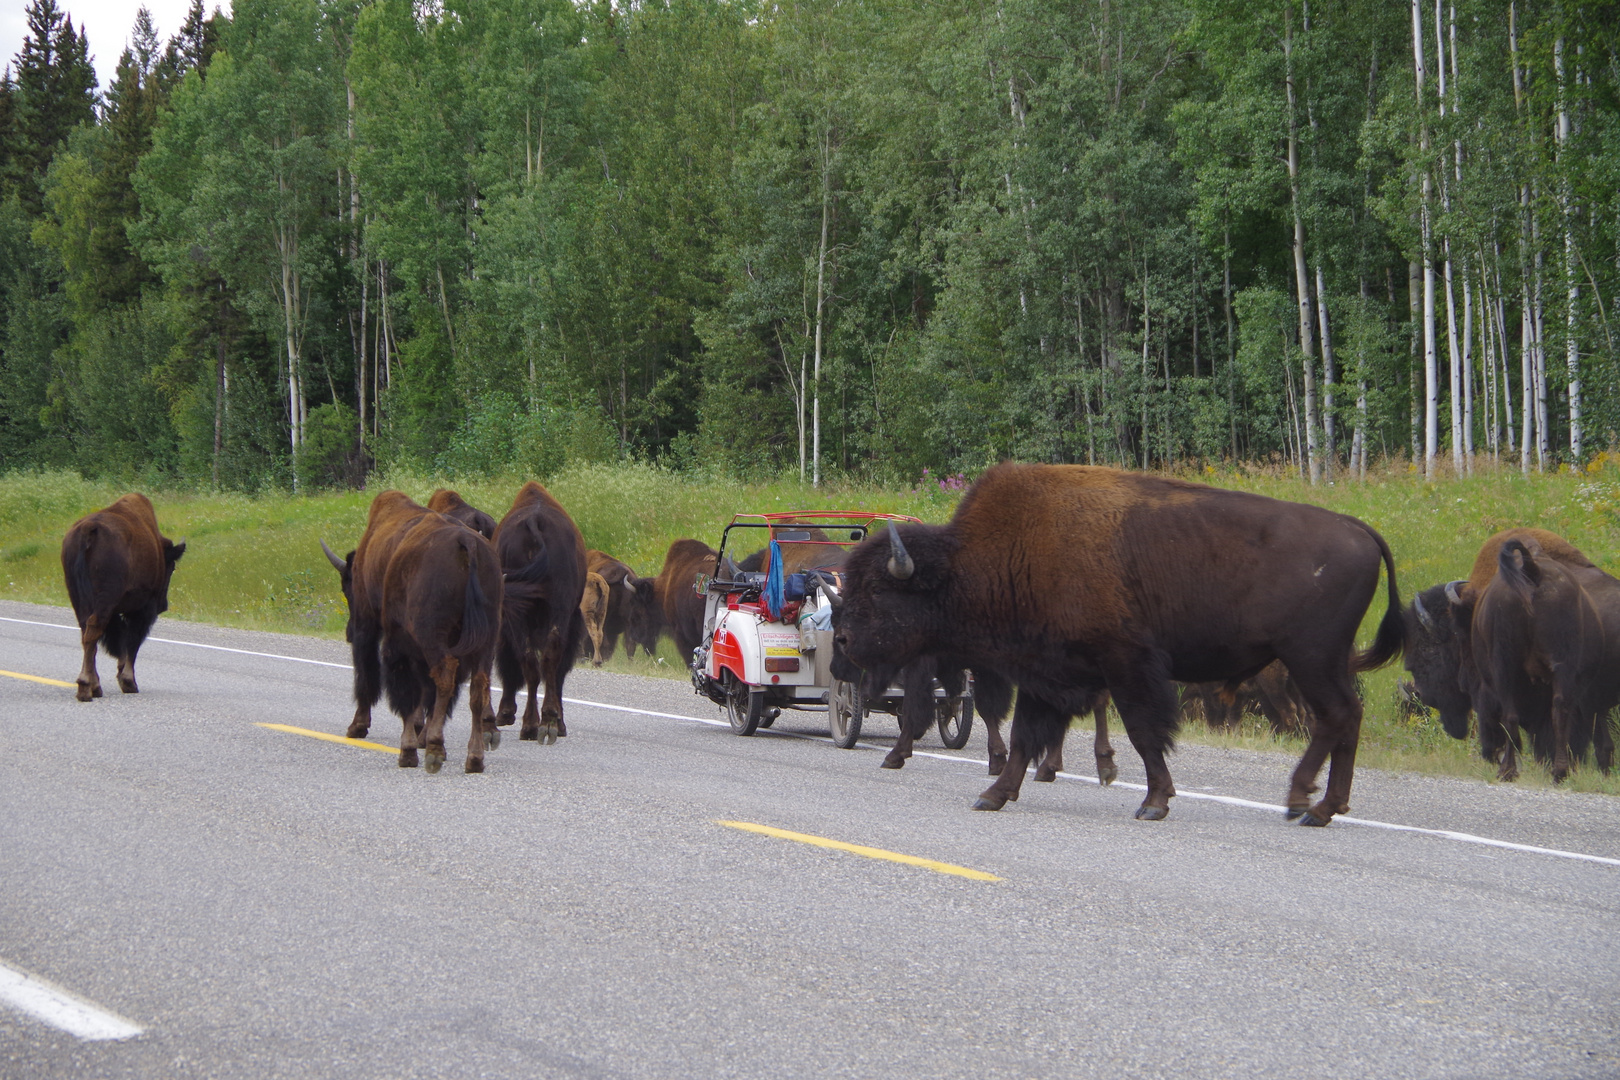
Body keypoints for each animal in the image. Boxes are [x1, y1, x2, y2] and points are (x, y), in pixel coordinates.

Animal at [59, 495, 185, 705]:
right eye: (172, 566)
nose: (163, 605)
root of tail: (89, 529)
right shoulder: (142, 609)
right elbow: (132, 642)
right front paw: (129, 682)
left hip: (79, 599)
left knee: (87, 635)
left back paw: (94, 687)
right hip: (107, 601)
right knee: (95, 631)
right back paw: (86, 688)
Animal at [498, 482, 596, 744]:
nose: (503, 715)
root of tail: (535, 521)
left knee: (534, 662)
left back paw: (534, 725)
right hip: (556, 612)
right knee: (544, 662)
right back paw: (543, 724)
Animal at [829, 466, 1399, 829]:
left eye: (877, 591)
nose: (842, 643)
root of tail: (1361, 530)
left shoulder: (1128, 666)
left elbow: (1145, 733)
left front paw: (1154, 802)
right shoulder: (1044, 673)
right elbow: (1024, 736)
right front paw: (993, 795)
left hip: (1310, 658)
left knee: (1335, 717)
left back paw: (1308, 805)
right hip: (1323, 662)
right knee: (1345, 718)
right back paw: (1320, 807)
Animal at [1464, 537, 1613, 780]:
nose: (1488, 751)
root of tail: (1532, 569)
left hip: (1505, 666)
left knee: (1513, 715)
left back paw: (1508, 770)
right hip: (1560, 666)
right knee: (1559, 709)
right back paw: (1559, 770)